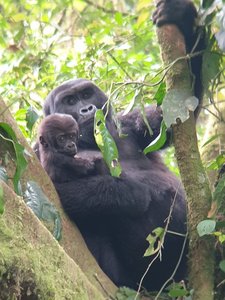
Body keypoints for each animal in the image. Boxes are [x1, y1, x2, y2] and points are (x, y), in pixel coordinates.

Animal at [37, 0, 204, 290]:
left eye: (86, 94)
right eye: (70, 102)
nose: (86, 109)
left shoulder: (128, 125)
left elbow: (180, 110)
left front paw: (179, 14)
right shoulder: (39, 151)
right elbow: (55, 190)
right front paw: (135, 193)